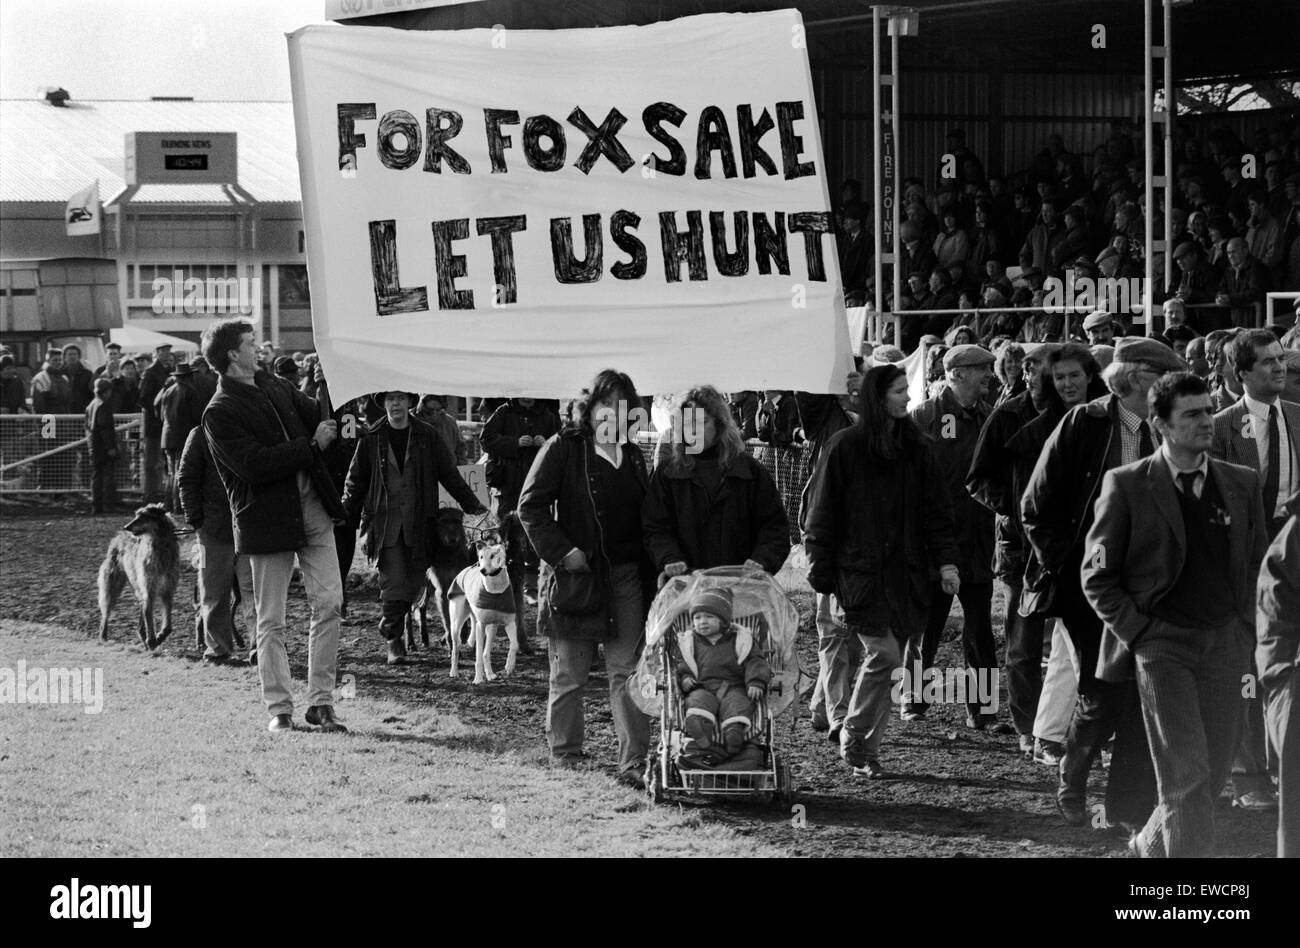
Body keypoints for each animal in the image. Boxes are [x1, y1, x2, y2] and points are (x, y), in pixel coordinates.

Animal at [96, 501, 180, 650]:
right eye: (136, 515)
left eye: (144, 516)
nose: (126, 527)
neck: (161, 546)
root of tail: (117, 537)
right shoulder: (149, 589)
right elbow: (149, 619)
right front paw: (152, 640)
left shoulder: (168, 591)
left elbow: (168, 626)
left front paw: (158, 637)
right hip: (113, 585)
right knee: (106, 612)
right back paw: (103, 637)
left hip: (137, 585)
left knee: (141, 613)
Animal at [447, 533, 517, 681]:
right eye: (481, 557)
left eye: (494, 555)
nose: (482, 570)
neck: (495, 590)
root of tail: (465, 569)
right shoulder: (481, 625)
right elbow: (478, 656)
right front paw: (478, 679)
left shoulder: (510, 623)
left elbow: (515, 644)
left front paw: (509, 666)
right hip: (456, 622)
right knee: (456, 648)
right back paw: (454, 672)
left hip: (492, 627)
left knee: (486, 652)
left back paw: (490, 674)